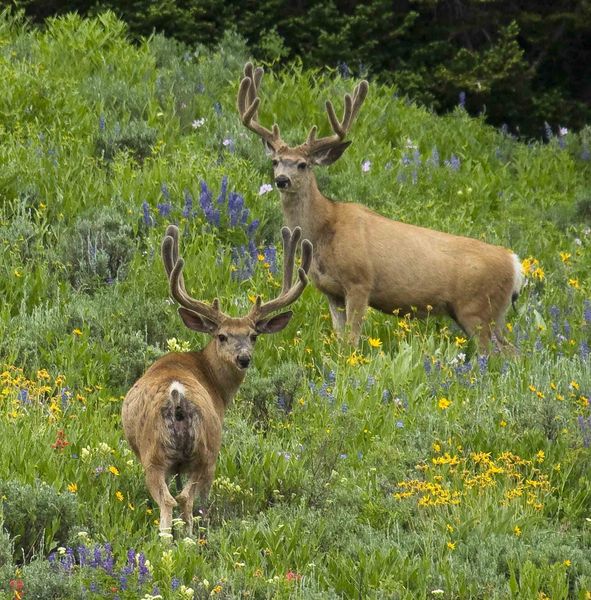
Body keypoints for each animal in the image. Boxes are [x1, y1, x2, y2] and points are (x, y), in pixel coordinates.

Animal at [122, 225, 312, 536]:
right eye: (222, 336)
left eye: (253, 335)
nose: (244, 358)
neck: (209, 377)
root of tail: (178, 399)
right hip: (203, 452)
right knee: (181, 499)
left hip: (164, 455)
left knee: (174, 499)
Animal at [236, 62, 524, 346]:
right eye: (276, 161)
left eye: (303, 164)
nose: (282, 180)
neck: (324, 228)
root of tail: (515, 264)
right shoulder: (331, 291)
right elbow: (340, 339)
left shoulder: (360, 282)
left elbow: (352, 341)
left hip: (477, 310)